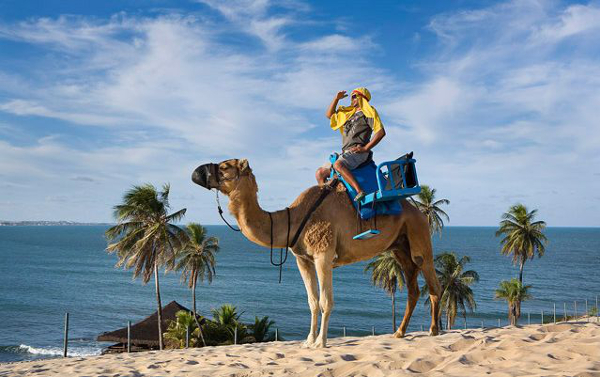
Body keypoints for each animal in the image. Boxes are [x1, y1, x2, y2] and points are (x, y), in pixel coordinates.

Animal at [192, 158, 440, 346]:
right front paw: (308, 341)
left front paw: (321, 342)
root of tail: (417, 209)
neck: (293, 219)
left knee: (431, 280)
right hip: (399, 246)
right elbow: (312, 301)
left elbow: (325, 301)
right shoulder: (303, 259)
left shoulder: (324, 255)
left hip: (418, 231)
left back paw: (433, 330)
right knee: (413, 287)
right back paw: (399, 332)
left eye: (225, 166)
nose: (196, 172)